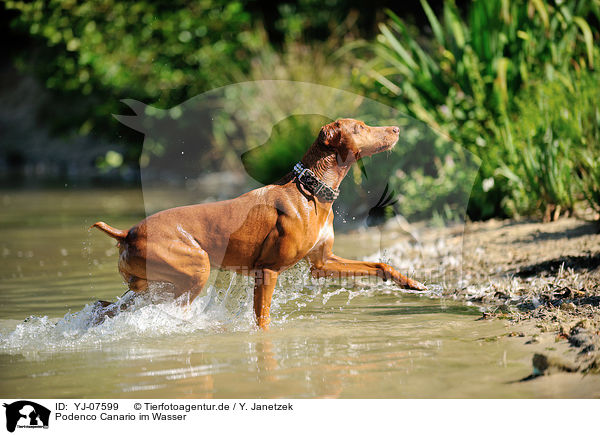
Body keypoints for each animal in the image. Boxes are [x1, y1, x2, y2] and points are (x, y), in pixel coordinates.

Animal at [90, 117, 426, 328]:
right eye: (360, 127)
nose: (397, 128)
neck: (310, 190)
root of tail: (126, 233)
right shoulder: (268, 271)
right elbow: (262, 321)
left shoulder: (322, 263)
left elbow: (379, 265)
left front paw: (411, 282)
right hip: (193, 272)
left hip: (149, 286)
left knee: (105, 307)